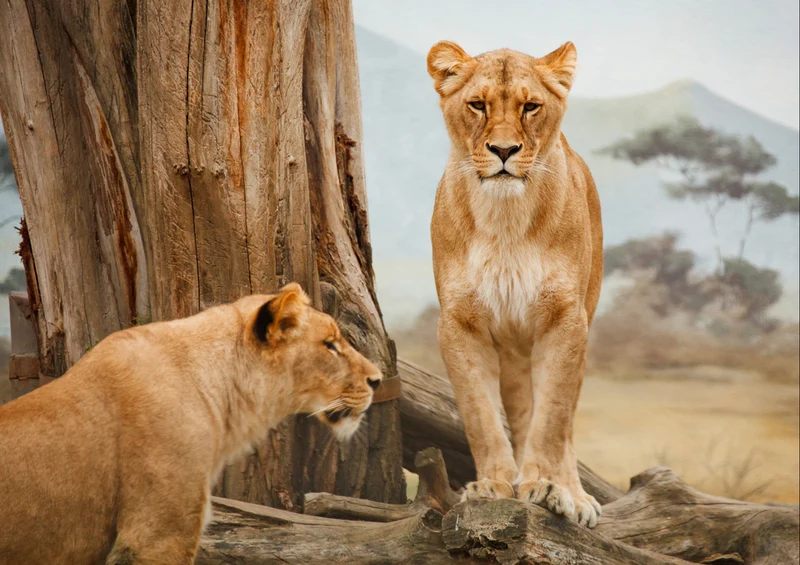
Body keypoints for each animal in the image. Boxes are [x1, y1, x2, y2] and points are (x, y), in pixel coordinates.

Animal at [426, 41, 603, 527]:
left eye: (530, 107)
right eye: (477, 105)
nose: (504, 150)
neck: (505, 218)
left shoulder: (565, 320)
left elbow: (553, 419)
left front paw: (545, 486)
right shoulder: (459, 324)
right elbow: (480, 415)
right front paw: (493, 485)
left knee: (565, 421)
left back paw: (574, 495)